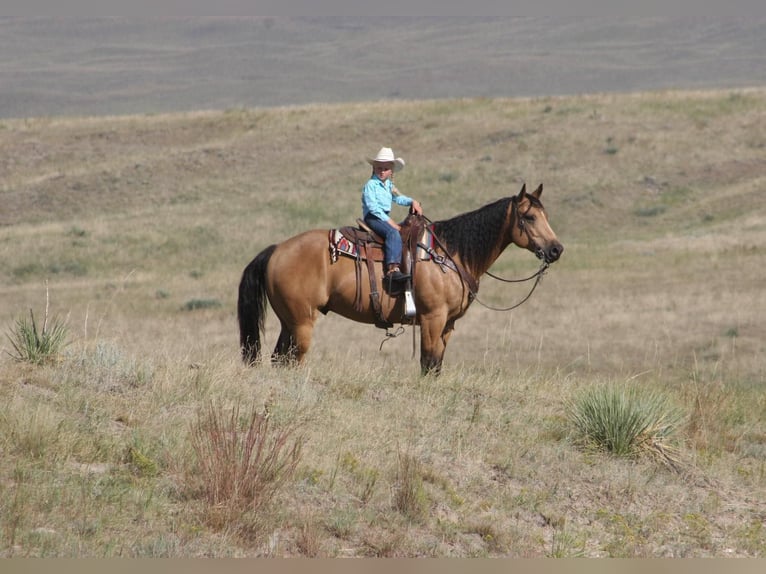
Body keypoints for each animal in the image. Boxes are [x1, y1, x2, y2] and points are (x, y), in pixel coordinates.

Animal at [238, 182, 564, 376]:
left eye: (546, 215)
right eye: (530, 217)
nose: (556, 249)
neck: (451, 254)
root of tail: (277, 249)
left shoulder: (448, 324)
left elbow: (437, 365)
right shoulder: (432, 318)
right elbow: (428, 363)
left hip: (288, 322)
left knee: (279, 360)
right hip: (302, 323)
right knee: (293, 361)